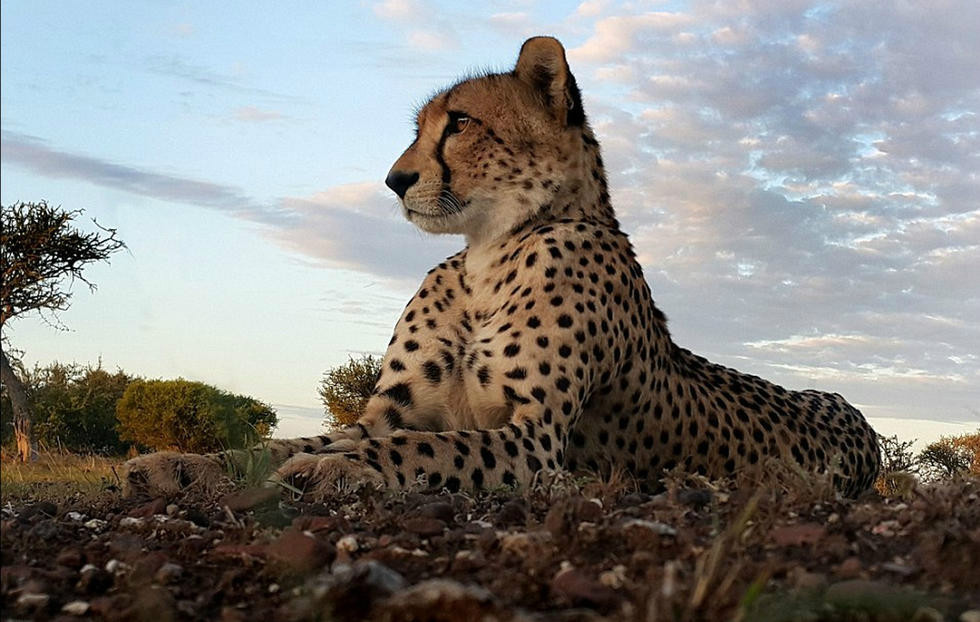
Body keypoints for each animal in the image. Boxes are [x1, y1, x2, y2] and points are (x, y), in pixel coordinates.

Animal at [122, 35, 880, 502]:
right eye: (418, 128)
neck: (489, 254)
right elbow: (286, 441)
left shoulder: (533, 440)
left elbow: (424, 450)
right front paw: (179, 465)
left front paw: (329, 468)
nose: (394, 181)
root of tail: (856, 416)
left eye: (459, 123)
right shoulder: (387, 414)